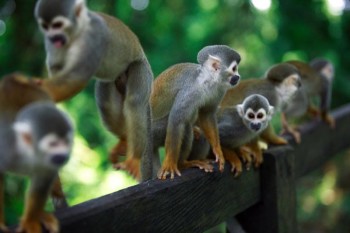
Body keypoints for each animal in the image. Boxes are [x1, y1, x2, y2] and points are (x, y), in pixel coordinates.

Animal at [0, 74, 73, 233]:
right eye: (52, 144)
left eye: (66, 142)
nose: (63, 156)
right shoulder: (4, 148)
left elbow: (42, 183)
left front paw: (31, 221)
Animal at [34, 0, 154, 180]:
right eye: (46, 27)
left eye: (57, 25)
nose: (53, 36)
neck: (75, 33)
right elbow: (58, 70)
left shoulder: (94, 36)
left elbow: (77, 76)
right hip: (115, 79)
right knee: (105, 100)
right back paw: (124, 140)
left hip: (141, 68)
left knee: (134, 102)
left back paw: (134, 158)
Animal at [150, 46, 241, 180]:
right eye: (234, 69)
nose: (238, 76)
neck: (206, 81)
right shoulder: (190, 91)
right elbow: (176, 120)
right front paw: (170, 163)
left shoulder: (219, 89)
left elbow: (207, 113)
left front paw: (218, 151)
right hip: (154, 132)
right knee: (184, 125)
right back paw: (183, 163)